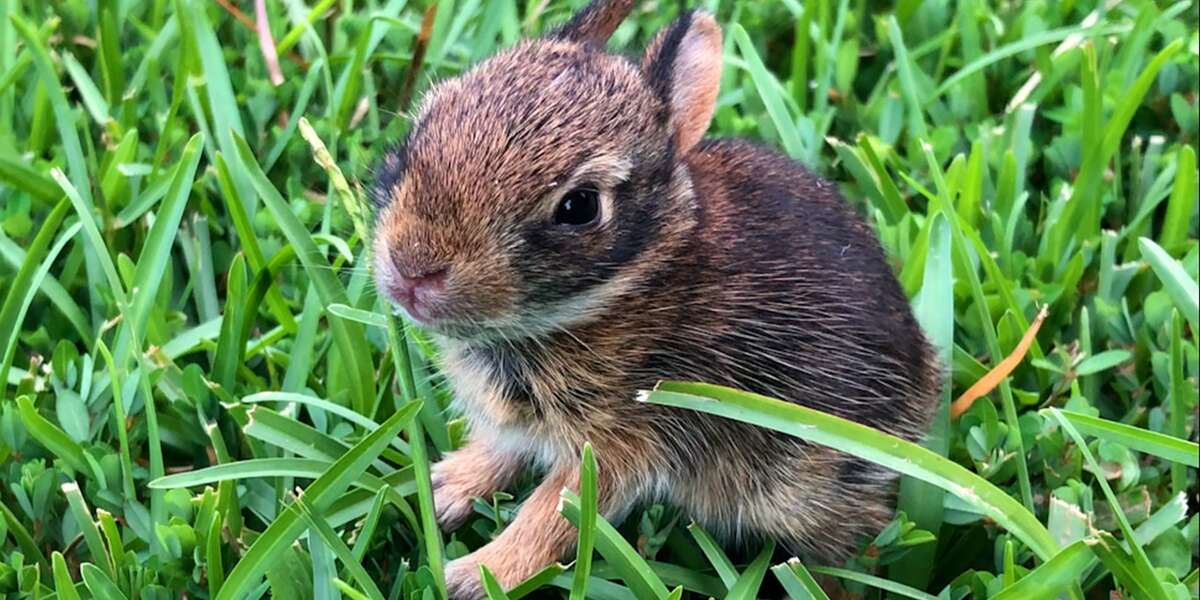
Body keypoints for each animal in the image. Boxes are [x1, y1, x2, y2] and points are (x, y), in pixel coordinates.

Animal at [370, 1, 940, 597]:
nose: (413, 271)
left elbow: (556, 511)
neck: (629, 283)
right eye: (416, 136)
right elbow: (499, 454)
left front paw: (476, 576)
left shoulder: (625, 439)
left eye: (579, 206)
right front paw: (443, 489)